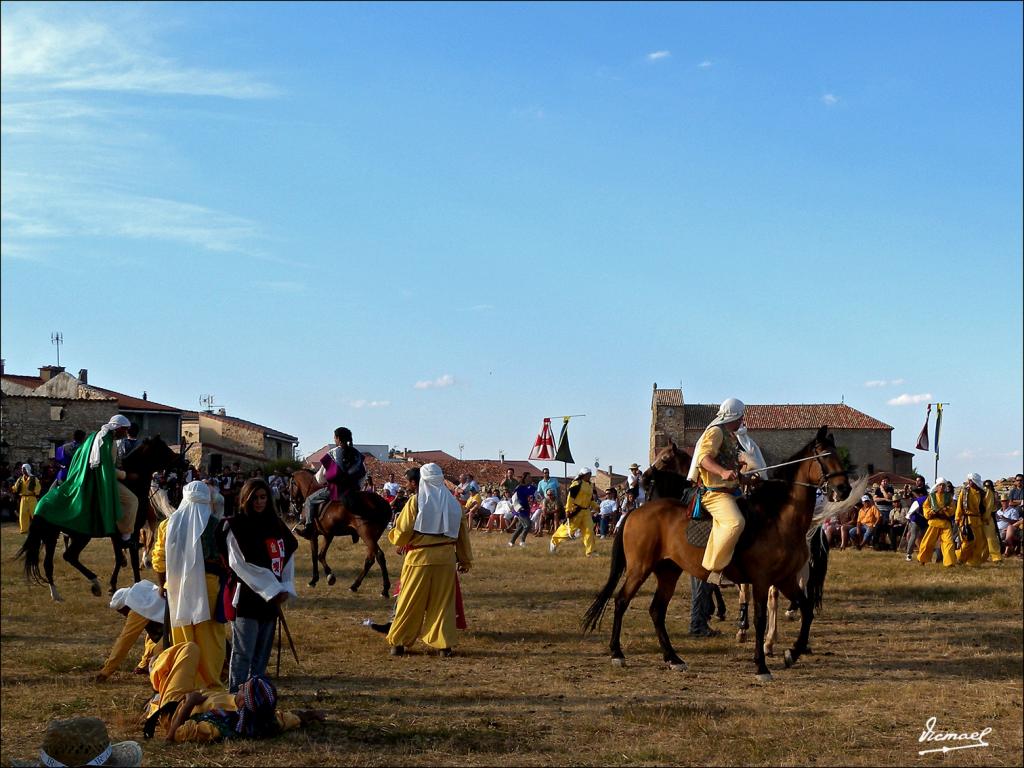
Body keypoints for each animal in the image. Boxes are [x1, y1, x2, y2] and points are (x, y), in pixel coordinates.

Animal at [17, 436, 181, 606]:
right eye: (162, 448)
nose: (181, 461)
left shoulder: (117, 535)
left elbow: (119, 557)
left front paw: (113, 585)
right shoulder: (132, 532)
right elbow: (131, 559)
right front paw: (134, 584)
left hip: (51, 537)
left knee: (49, 564)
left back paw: (56, 594)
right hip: (81, 536)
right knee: (69, 556)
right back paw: (94, 583)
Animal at [288, 468, 391, 602]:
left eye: (290, 484)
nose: (292, 505)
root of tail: (383, 503)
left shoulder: (313, 535)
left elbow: (315, 556)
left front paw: (317, 579)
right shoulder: (328, 535)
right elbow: (321, 555)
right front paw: (327, 576)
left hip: (366, 534)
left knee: (379, 556)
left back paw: (385, 590)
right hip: (373, 537)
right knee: (370, 559)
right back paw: (354, 585)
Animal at [581, 423, 860, 684]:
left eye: (837, 454)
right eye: (823, 455)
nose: (843, 489)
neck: (778, 517)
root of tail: (635, 512)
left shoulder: (785, 579)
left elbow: (807, 609)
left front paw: (792, 652)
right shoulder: (761, 580)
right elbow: (759, 618)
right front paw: (761, 665)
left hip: (668, 571)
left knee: (656, 610)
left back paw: (673, 658)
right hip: (640, 568)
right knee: (621, 601)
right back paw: (617, 653)